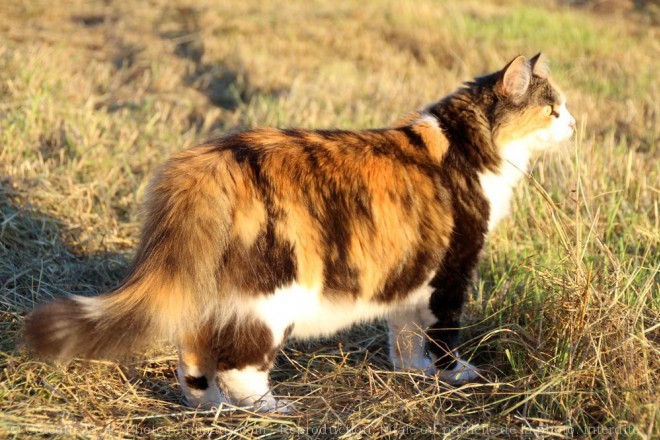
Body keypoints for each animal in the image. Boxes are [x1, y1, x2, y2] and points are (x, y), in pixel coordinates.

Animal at [24, 52, 572, 412]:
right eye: (553, 109)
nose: (573, 125)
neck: (465, 140)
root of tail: (211, 160)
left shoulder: (412, 270)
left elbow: (405, 331)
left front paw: (411, 370)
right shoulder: (453, 268)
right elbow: (443, 332)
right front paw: (454, 373)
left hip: (213, 289)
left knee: (193, 352)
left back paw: (209, 406)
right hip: (272, 296)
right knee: (239, 364)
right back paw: (269, 409)